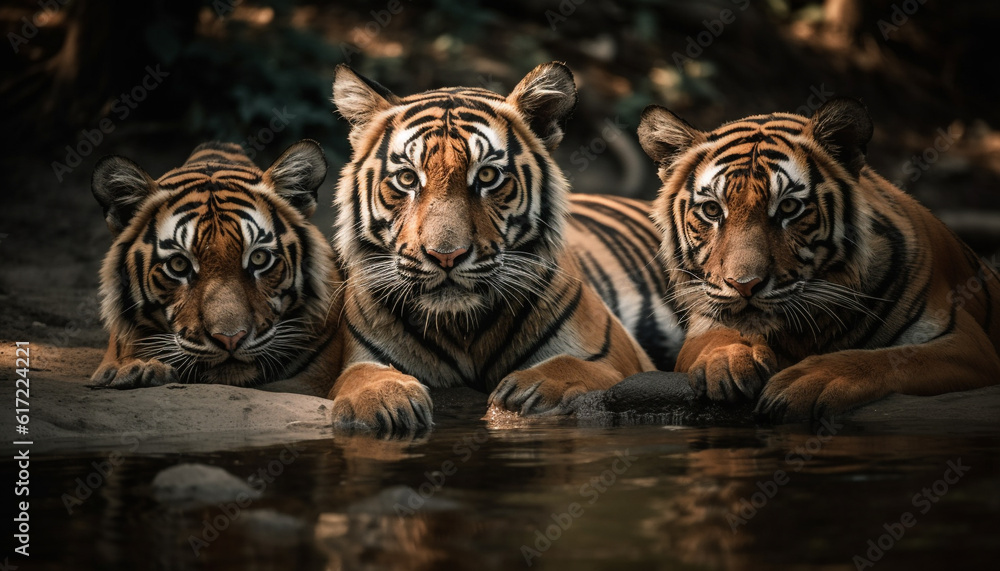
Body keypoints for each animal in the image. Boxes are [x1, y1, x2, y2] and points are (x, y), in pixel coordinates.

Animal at [328, 60, 680, 432]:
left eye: (487, 176)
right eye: (408, 179)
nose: (446, 256)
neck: (461, 327)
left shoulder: (622, 358)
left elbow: (573, 366)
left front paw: (524, 390)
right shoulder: (361, 357)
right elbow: (360, 376)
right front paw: (381, 402)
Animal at [640, 96, 1000, 422]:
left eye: (788, 207)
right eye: (713, 210)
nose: (745, 285)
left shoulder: (966, 343)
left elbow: (891, 358)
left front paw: (808, 381)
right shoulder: (703, 321)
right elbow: (716, 336)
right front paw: (729, 359)